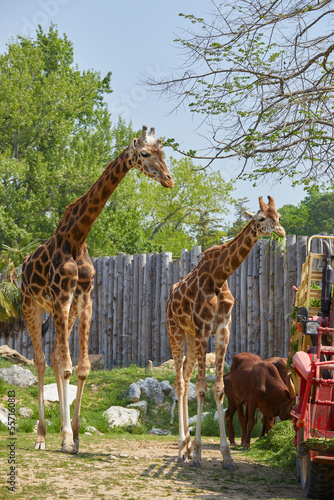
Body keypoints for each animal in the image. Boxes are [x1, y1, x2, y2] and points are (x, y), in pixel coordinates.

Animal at [21, 126, 174, 454]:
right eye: (145, 153)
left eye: (163, 153)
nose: (168, 179)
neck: (77, 237)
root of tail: (22, 266)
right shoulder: (62, 297)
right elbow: (67, 367)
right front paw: (66, 438)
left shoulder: (84, 299)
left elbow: (81, 367)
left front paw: (75, 436)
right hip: (32, 304)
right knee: (40, 361)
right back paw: (41, 436)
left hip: (61, 311)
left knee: (53, 357)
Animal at [167, 194, 284, 468]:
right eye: (261, 218)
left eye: (278, 217)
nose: (281, 232)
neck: (219, 277)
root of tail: (169, 297)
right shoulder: (203, 328)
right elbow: (201, 389)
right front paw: (199, 454)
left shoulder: (223, 330)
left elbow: (219, 389)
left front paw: (226, 455)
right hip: (176, 329)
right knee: (179, 382)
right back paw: (182, 450)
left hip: (189, 335)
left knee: (185, 376)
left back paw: (186, 447)